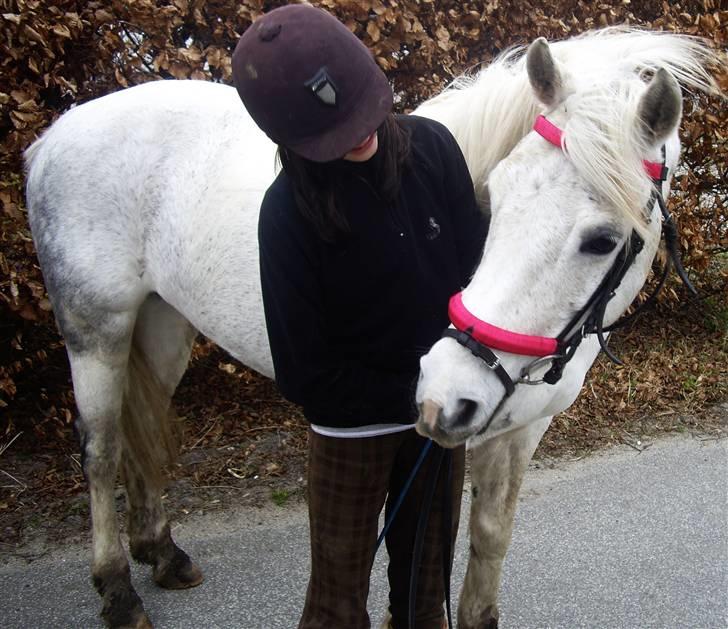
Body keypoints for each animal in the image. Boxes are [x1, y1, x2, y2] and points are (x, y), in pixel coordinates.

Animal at [24, 28, 716, 628]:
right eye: (498, 193)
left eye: (602, 240)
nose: (444, 391)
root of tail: (54, 136)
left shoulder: (518, 430)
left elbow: (488, 540)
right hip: (96, 330)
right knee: (102, 446)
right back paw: (118, 590)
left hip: (163, 326)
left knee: (140, 428)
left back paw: (162, 552)